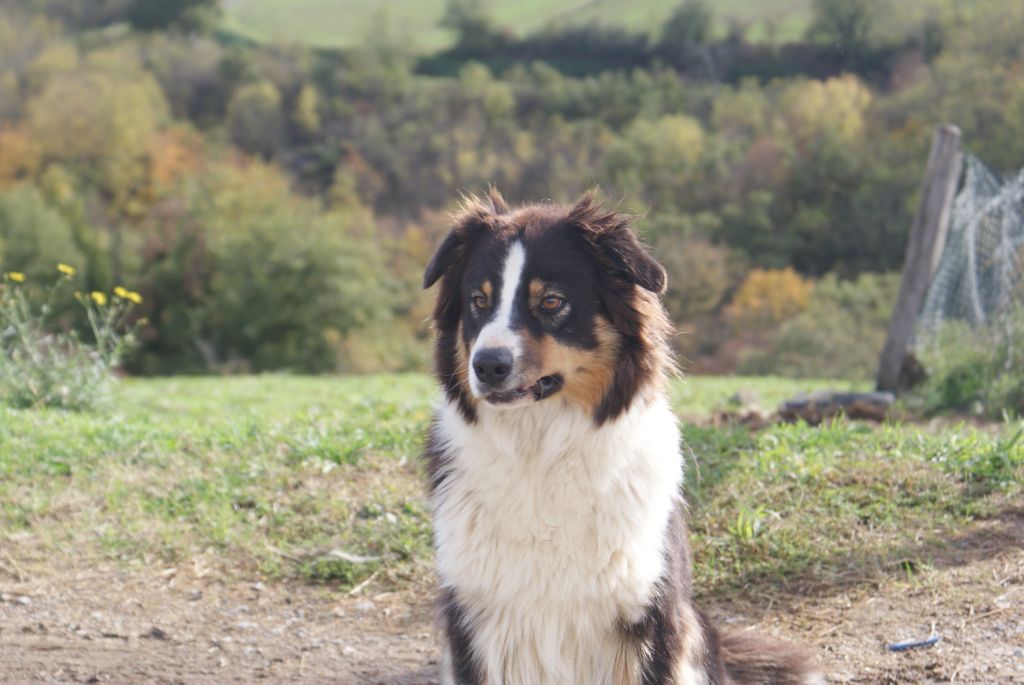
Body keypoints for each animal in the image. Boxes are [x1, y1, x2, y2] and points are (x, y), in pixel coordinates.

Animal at [419, 188, 819, 683]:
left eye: (550, 302)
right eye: (478, 300)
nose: (487, 365)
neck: (540, 449)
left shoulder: (648, 617)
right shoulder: (475, 617)